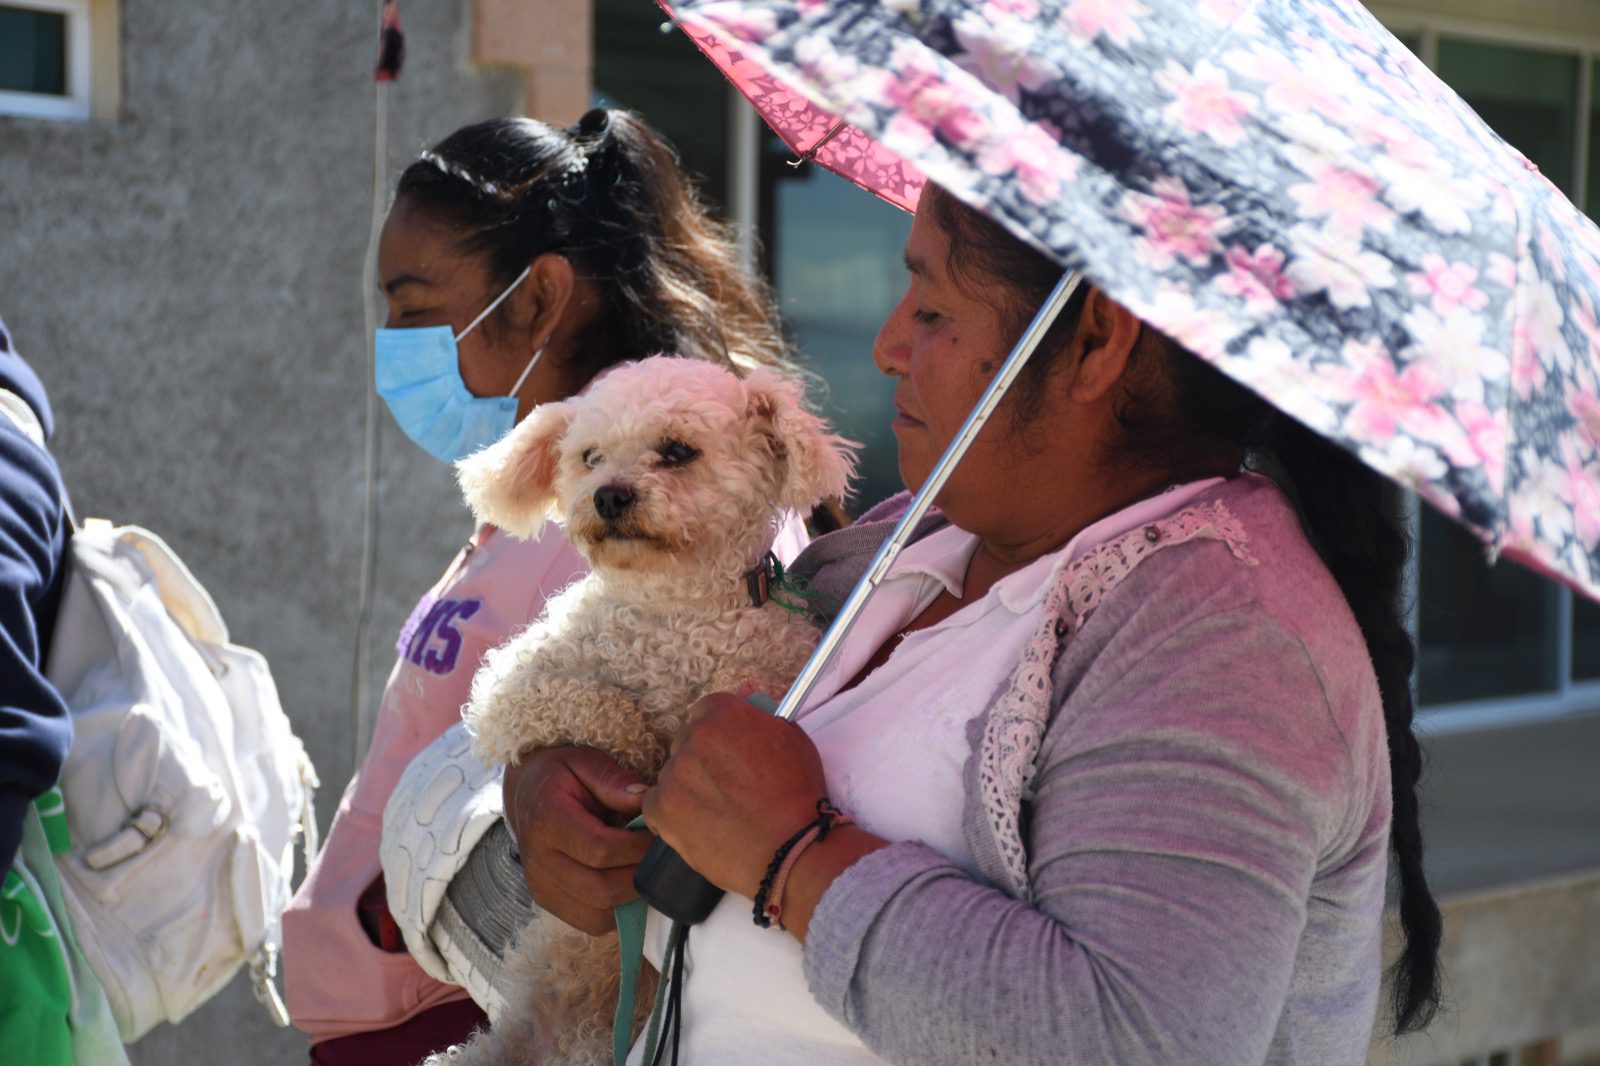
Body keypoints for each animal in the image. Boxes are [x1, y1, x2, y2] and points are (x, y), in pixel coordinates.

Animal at [422, 355, 851, 1062]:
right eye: (590, 457)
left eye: (676, 451)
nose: (609, 495)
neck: (673, 616)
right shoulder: (508, 692)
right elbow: (577, 701)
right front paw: (638, 750)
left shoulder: (775, 666)